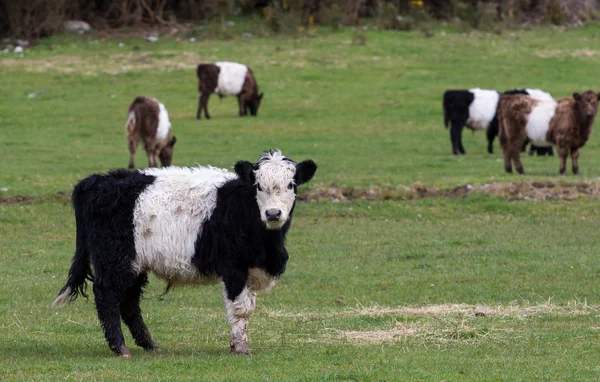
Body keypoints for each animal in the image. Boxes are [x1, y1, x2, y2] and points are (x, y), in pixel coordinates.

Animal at [52, 150, 318, 358]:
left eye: (291, 185)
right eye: (259, 186)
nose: (273, 213)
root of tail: (96, 181)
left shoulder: (251, 269)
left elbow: (247, 307)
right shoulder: (234, 268)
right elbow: (240, 308)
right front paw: (240, 347)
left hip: (135, 265)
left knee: (129, 303)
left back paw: (149, 344)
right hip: (114, 260)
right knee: (106, 296)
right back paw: (120, 348)